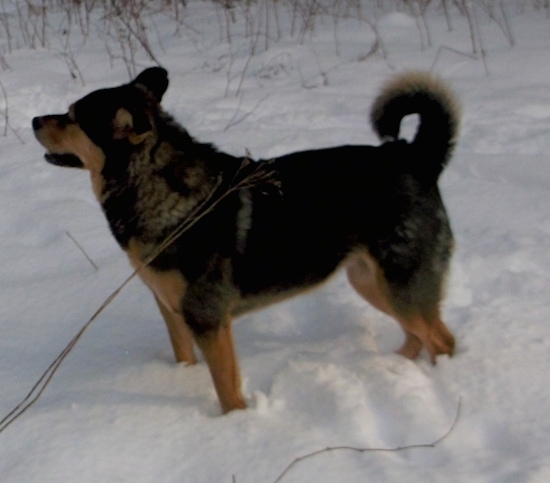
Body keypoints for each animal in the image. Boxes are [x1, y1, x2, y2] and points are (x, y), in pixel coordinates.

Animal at [33, 68, 462, 414]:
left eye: (72, 117)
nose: (35, 119)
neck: (156, 187)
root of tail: (415, 156)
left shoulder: (207, 318)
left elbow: (227, 388)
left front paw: (234, 426)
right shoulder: (171, 309)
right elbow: (185, 359)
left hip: (399, 282)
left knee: (442, 339)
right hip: (371, 281)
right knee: (417, 335)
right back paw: (391, 367)